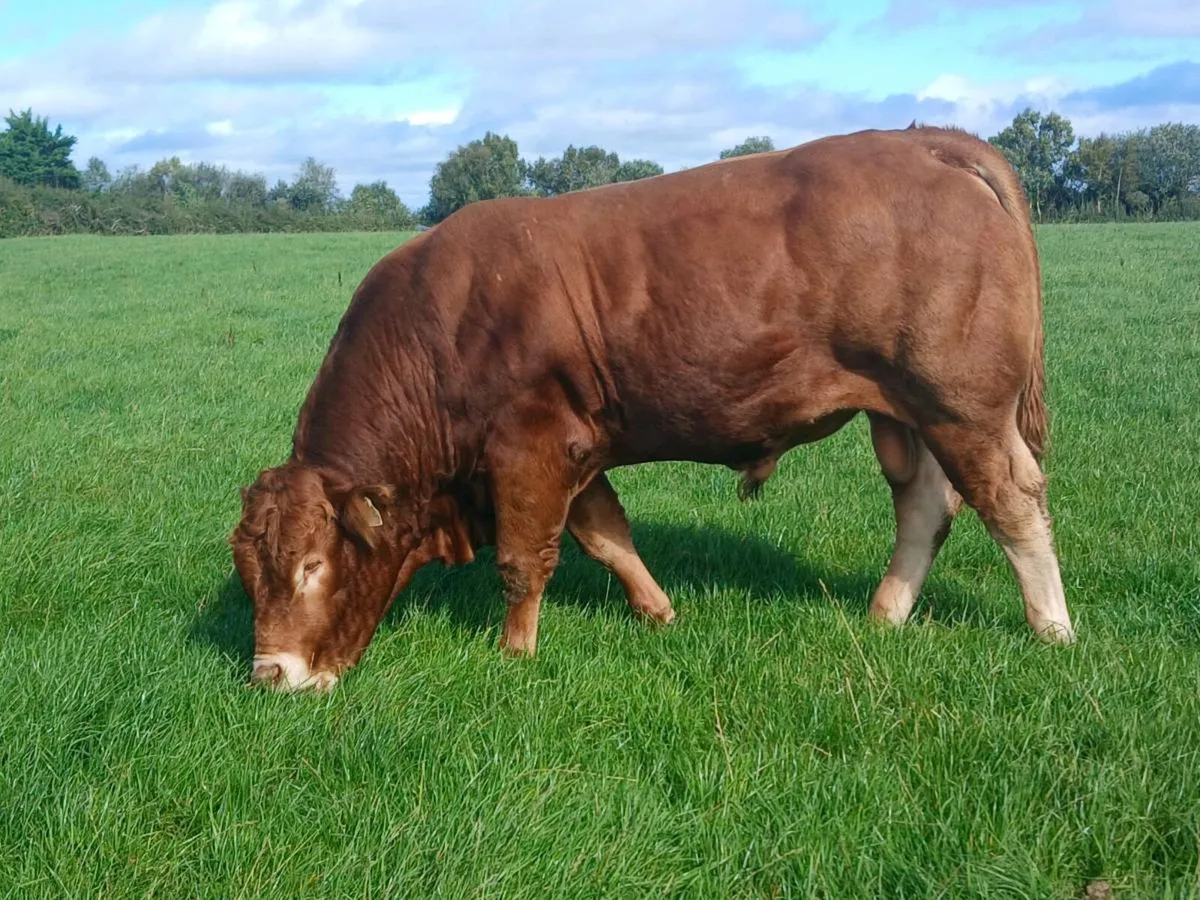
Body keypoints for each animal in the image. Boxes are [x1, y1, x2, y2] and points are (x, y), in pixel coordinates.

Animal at [230, 124, 1075, 693]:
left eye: (311, 566)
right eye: (249, 571)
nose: (271, 674)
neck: (444, 324)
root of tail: (928, 141)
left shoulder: (529, 449)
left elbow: (524, 560)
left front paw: (514, 653)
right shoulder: (578, 449)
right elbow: (607, 535)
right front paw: (658, 611)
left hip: (963, 408)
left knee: (1012, 501)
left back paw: (1052, 628)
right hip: (904, 413)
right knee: (927, 506)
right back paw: (886, 613)